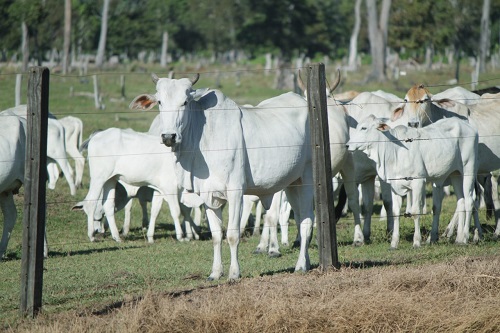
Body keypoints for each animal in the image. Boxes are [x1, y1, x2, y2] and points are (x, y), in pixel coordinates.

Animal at [131, 73, 314, 280]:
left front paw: (234, 273)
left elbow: (232, 235)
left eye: (185, 102)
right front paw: (215, 272)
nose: (169, 136)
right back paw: (306, 261)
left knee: (307, 221)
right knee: (300, 219)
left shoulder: (235, 192)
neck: (202, 139)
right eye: (160, 102)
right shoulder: (208, 195)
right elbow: (217, 235)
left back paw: (301, 265)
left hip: (308, 178)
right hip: (293, 183)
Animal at [348, 115, 480, 246]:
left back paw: (465, 237)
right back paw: (459, 238)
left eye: (364, 128)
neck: (394, 151)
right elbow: (395, 212)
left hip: (468, 170)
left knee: (469, 201)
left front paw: (416, 241)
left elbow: (416, 211)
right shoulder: (394, 186)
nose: (347, 145)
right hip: (455, 175)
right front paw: (394, 243)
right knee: (461, 201)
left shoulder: (418, 182)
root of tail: (466, 124)